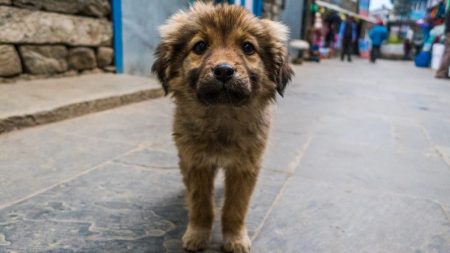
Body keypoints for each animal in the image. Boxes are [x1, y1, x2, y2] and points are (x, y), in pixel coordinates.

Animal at [151, 2, 292, 253]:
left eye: (248, 47)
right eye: (200, 46)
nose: (224, 70)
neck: (222, 114)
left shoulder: (245, 167)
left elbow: (235, 208)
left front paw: (235, 239)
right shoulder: (197, 162)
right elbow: (201, 205)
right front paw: (197, 235)